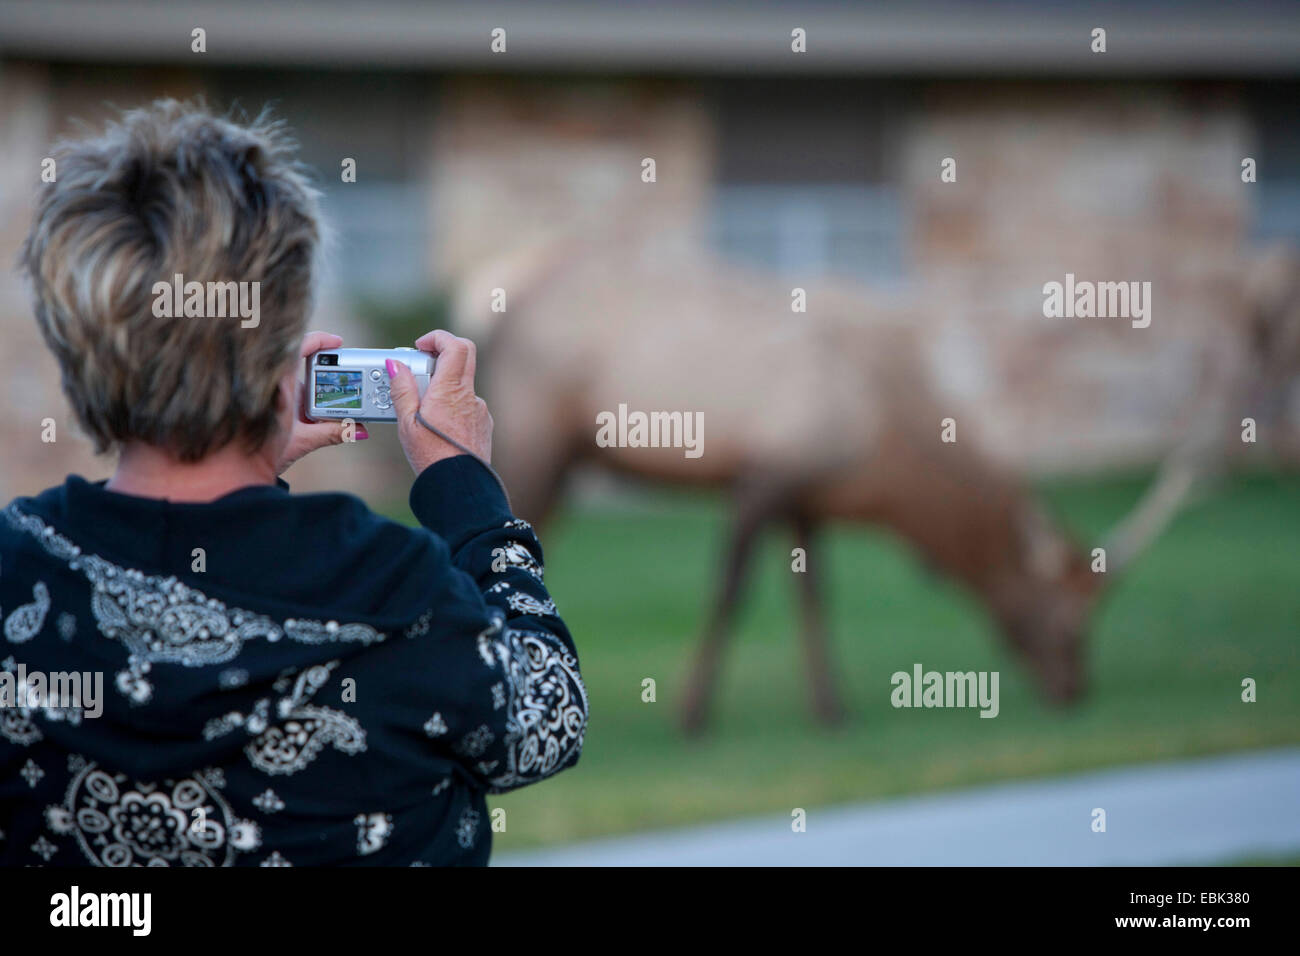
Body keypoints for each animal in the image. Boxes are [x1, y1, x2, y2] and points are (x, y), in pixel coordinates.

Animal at [449, 235, 1289, 738]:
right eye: (1066, 619)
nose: (1075, 689)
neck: (886, 465)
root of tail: (485, 295)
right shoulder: (767, 472)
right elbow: (732, 590)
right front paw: (692, 715)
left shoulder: (808, 499)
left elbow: (814, 595)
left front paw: (832, 709)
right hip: (538, 430)